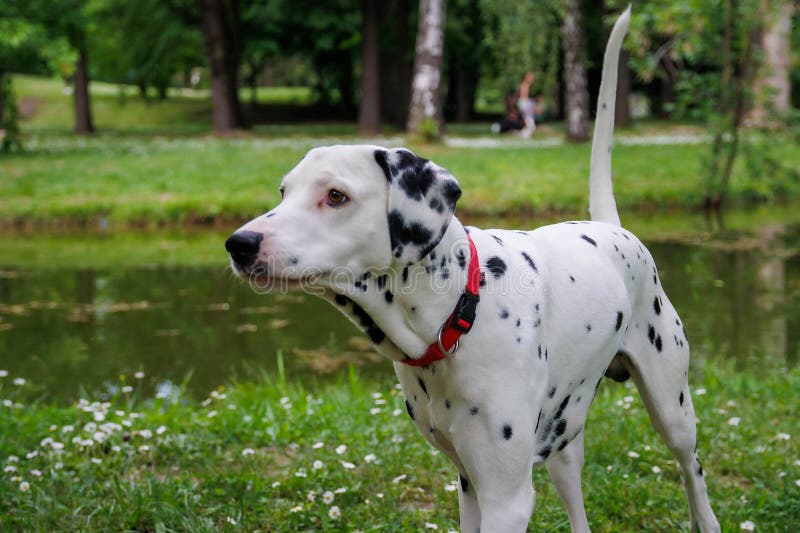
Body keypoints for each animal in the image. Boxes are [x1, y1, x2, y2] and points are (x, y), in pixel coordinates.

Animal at [223, 8, 720, 532]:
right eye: (284, 192)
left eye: (335, 195)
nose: (239, 244)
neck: (460, 312)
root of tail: (611, 228)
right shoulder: (470, 484)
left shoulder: (506, 497)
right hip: (564, 438)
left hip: (672, 412)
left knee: (692, 472)